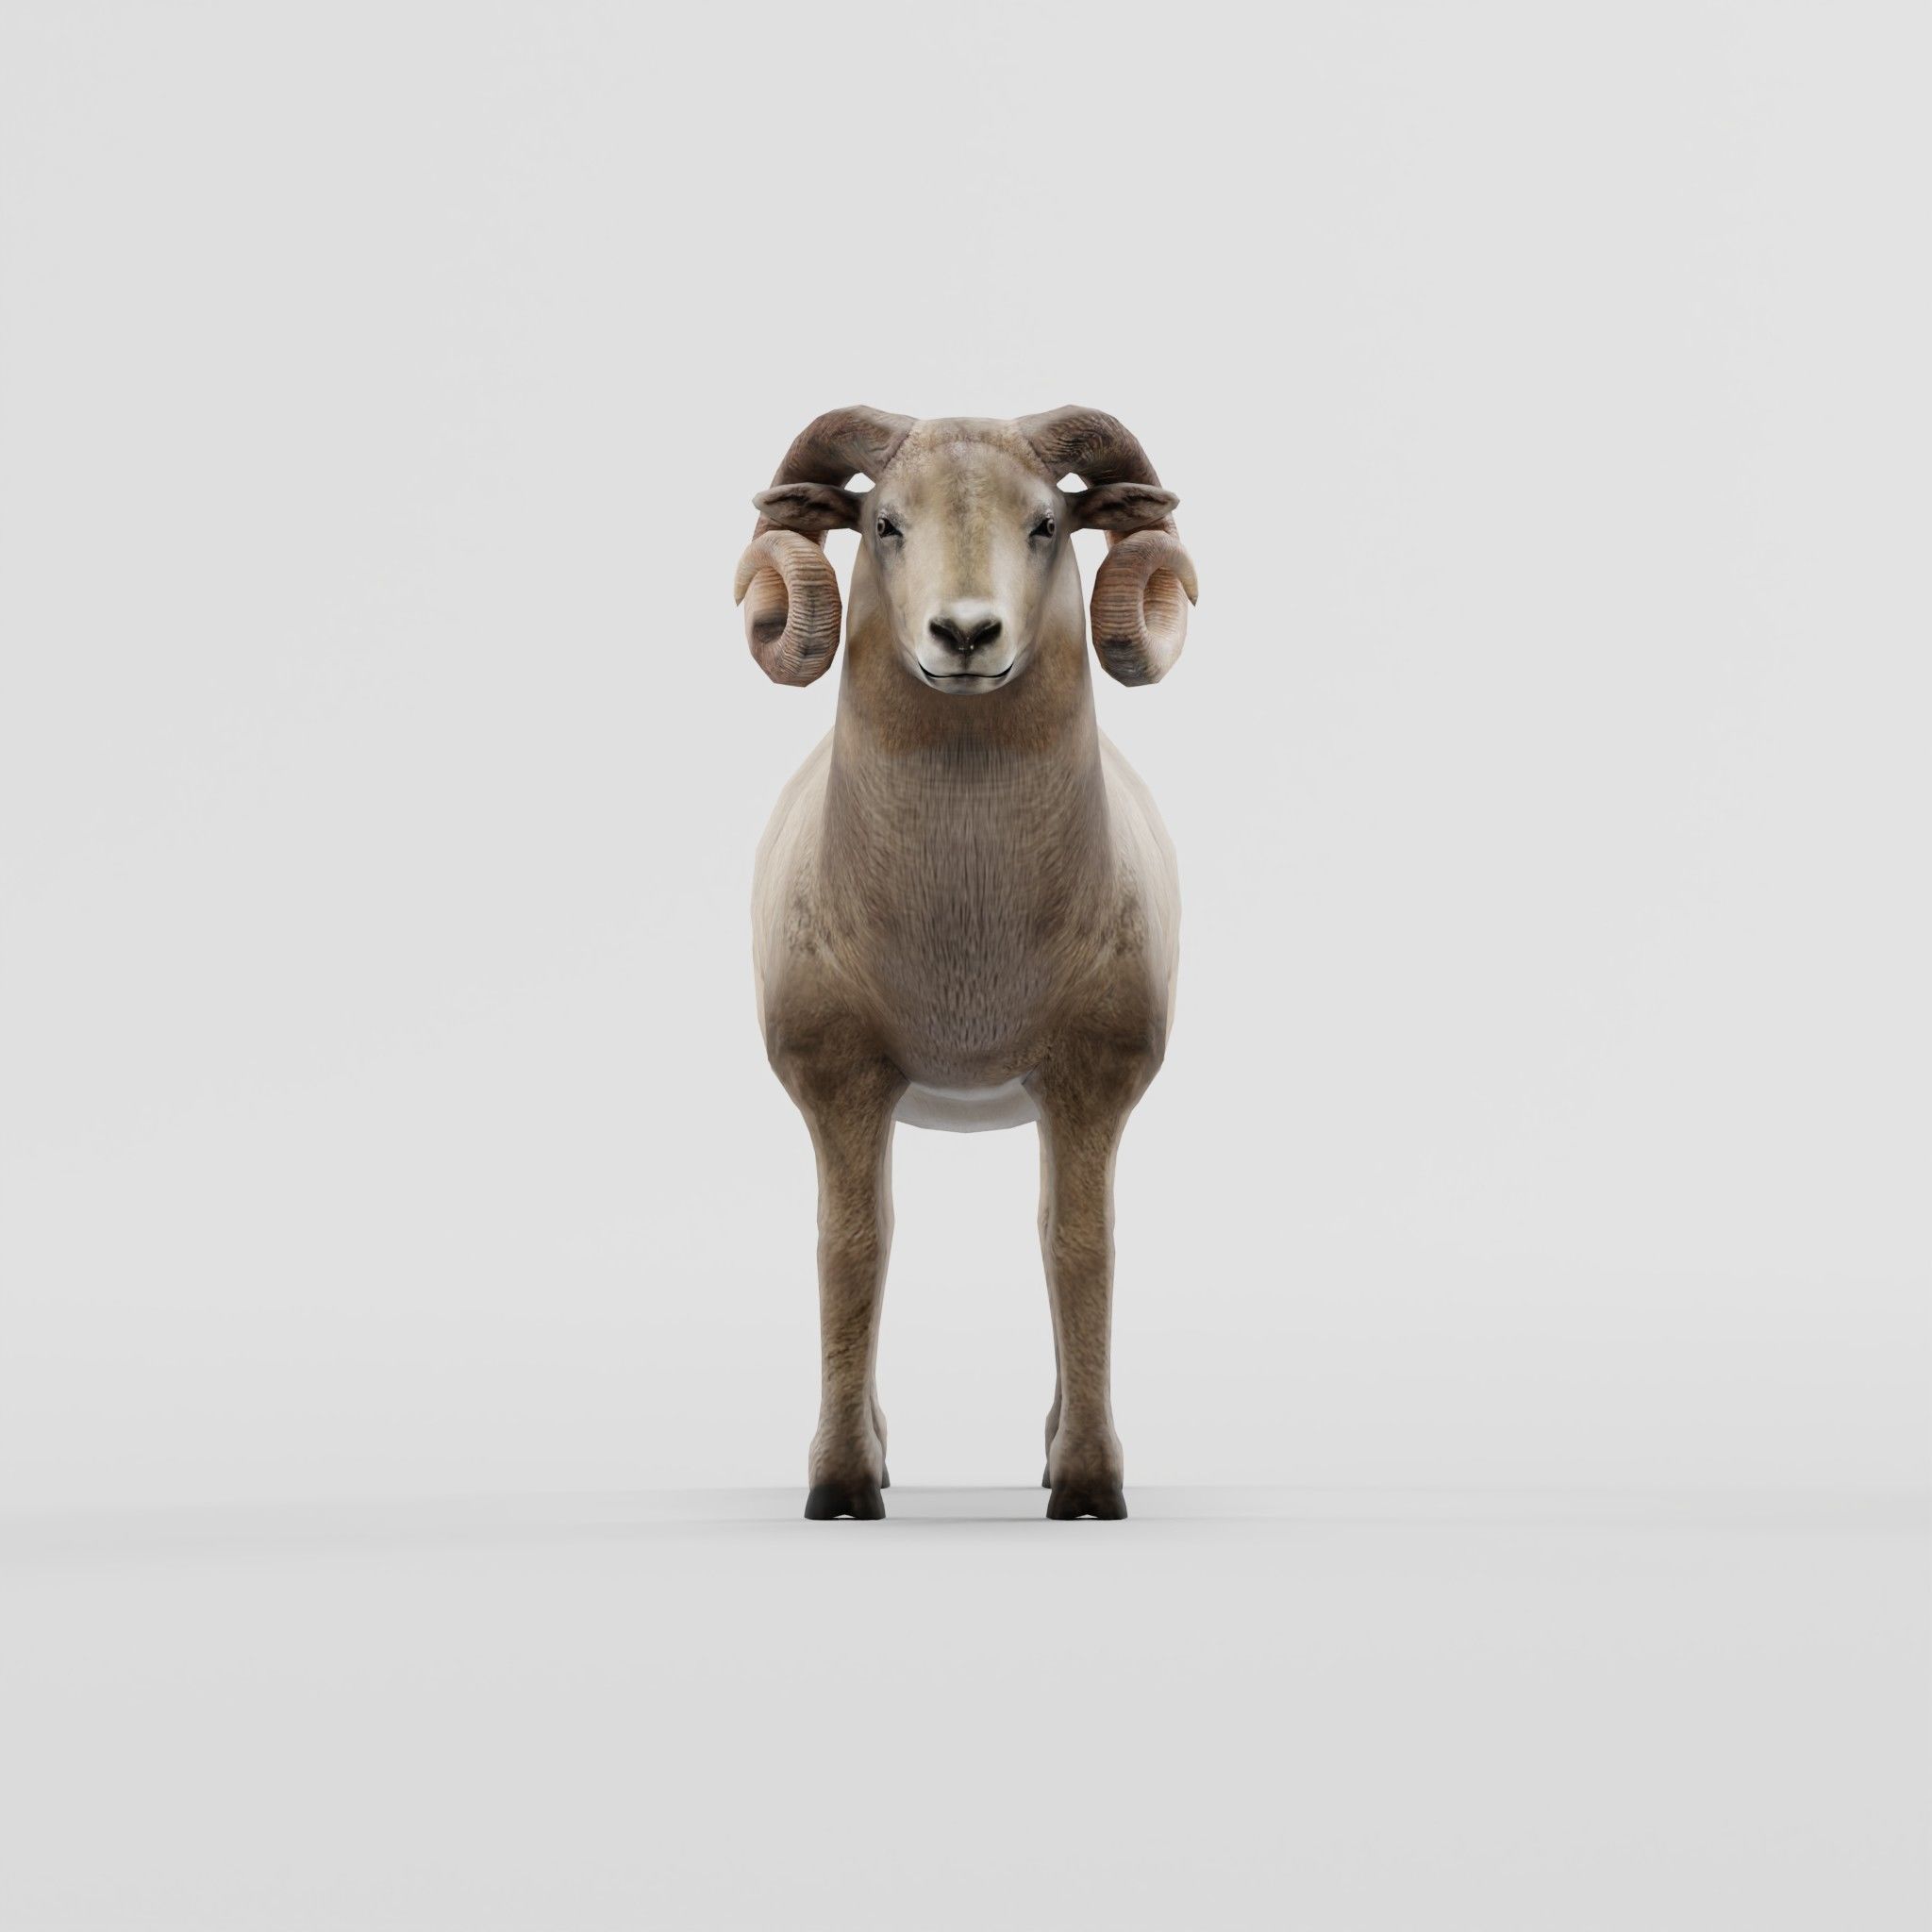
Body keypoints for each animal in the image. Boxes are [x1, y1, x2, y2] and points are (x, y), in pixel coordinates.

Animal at [734, 408, 1198, 1520]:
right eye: (884, 523)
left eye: (1046, 524)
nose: (966, 633)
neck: (967, 950)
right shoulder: (842, 1085)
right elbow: (853, 1250)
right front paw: (842, 1484)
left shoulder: (1088, 1086)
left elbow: (1078, 1250)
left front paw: (1088, 1485)